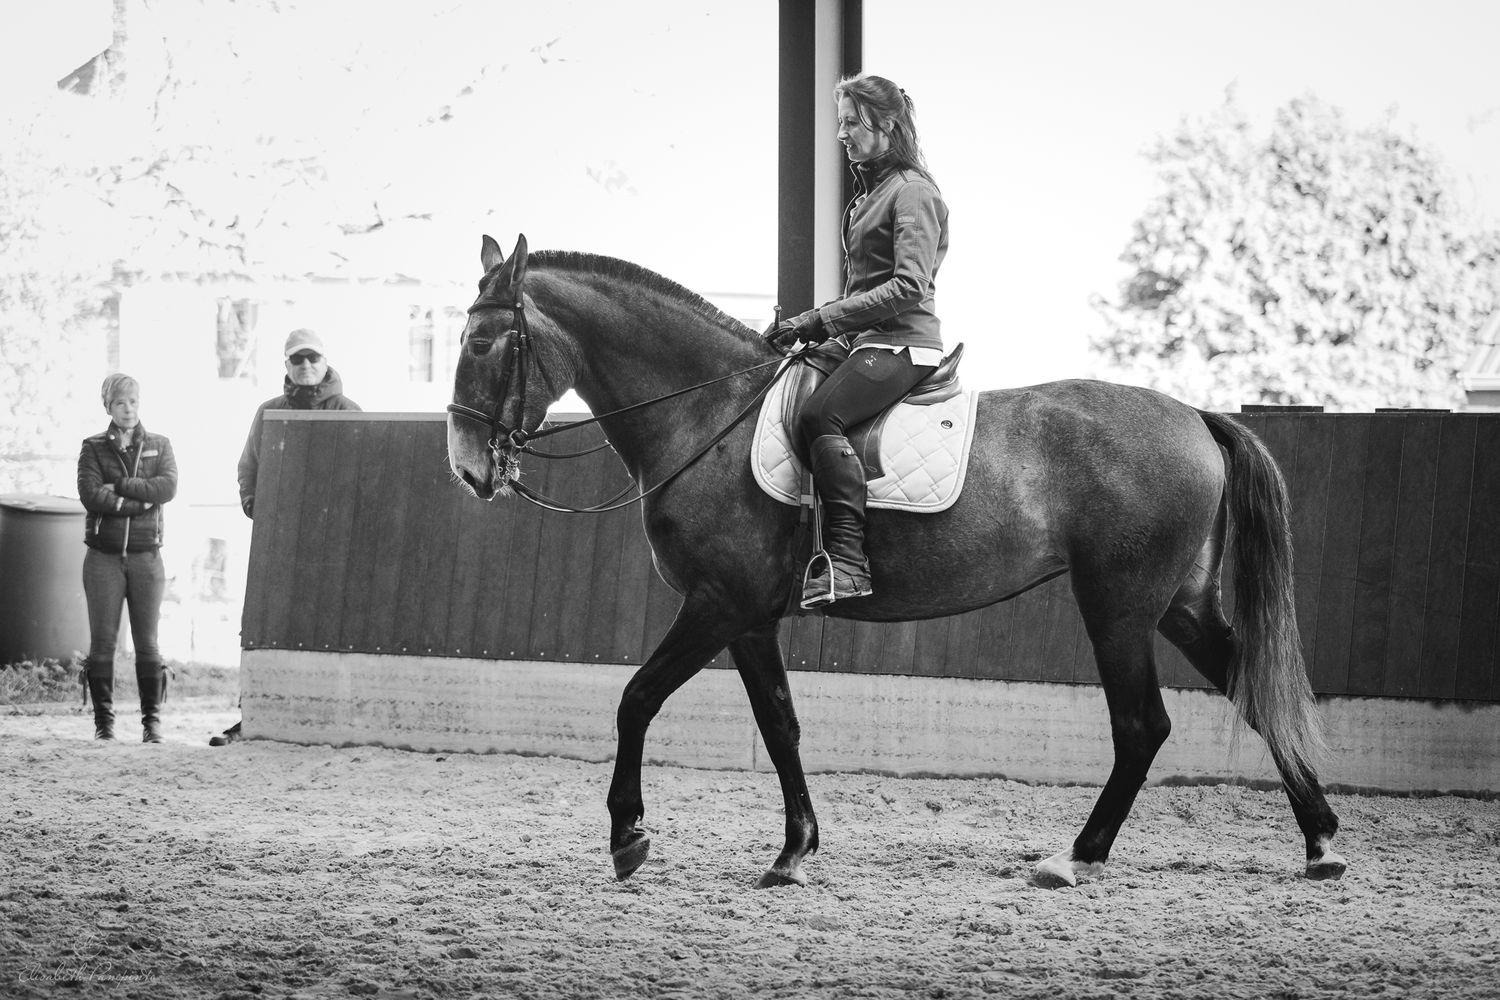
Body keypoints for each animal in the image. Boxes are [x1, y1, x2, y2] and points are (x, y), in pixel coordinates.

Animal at [446, 233, 1348, 891]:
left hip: (1119, 606)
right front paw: (794, 851)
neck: (710, 414)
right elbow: (780, 725)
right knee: (1251, 692)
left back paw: (1076, 856)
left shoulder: (716, 603)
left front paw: (629, 837)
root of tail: (1196, 417)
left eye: (487, 341)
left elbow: (635, 700)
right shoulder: (749, 618)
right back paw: (1320, 844)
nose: (466, 469)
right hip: (1179, 604)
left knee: (1142, 726)